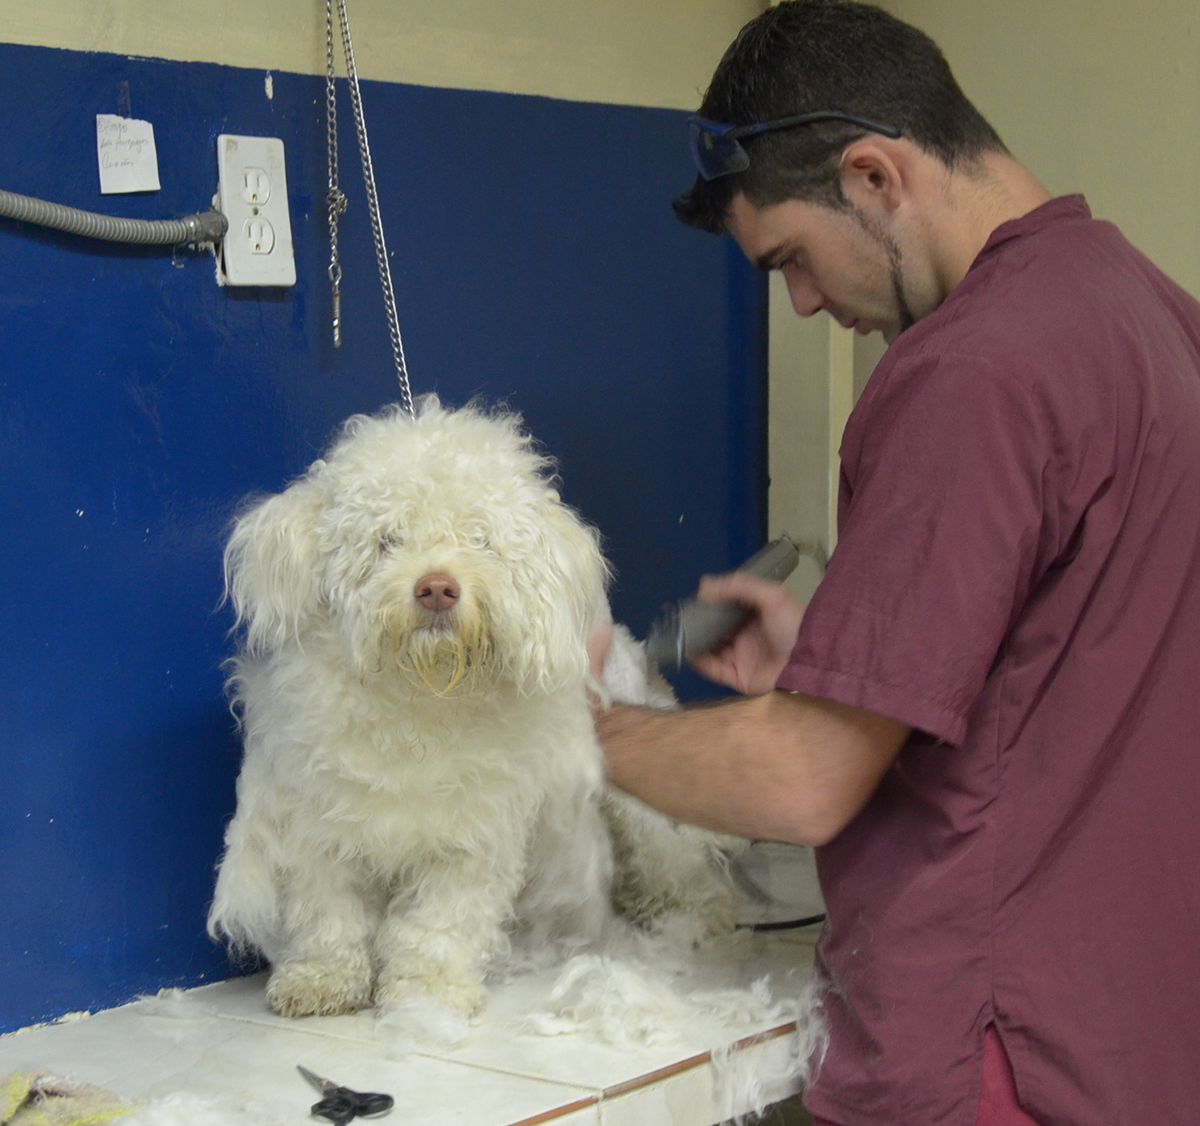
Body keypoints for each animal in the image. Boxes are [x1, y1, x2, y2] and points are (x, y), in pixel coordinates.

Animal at [208, 396, 739, 1017]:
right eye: (387, 538)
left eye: (480, 539)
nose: (437, 588)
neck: (422, 697)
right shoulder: (320, 833)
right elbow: (326, 917)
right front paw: (321, 981)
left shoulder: (470, 843)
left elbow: (439, 925)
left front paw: (428, 992)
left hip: (634, 808)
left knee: (674, 863)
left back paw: (702, 912)